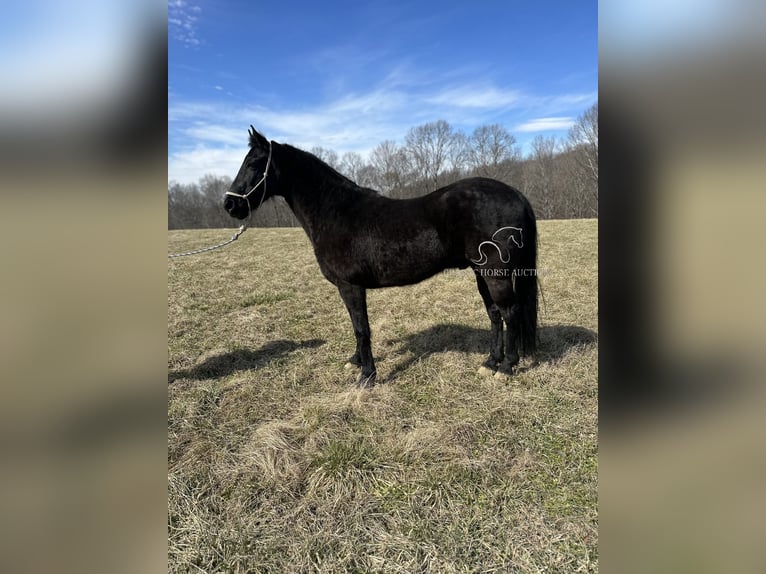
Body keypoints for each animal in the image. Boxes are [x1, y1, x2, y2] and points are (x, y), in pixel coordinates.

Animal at [225, 128, 536, 390]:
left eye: (254, 163)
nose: (230, 205)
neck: (335, 211)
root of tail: (515, 194)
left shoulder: (350, 286)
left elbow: (361, 329)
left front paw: (367, 376)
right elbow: (355, 326)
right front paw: (356, 362)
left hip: (495, 274)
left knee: (510, 313)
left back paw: (506, 367)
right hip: (481, 272)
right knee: (495, 314)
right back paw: (490, 362)